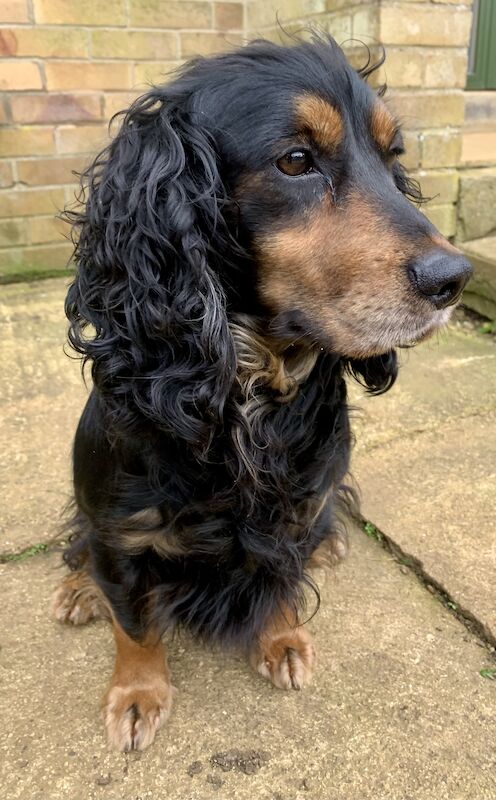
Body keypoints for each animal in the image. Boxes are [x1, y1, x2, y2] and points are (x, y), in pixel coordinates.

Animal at [53, 36, 472, 752]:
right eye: (296, 161)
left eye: (394, 159)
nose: (454, 278)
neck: (250, 390)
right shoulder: (121, 534)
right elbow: (133, 622)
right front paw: (137, 694)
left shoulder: (294, 510)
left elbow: (280, 579)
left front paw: (282, 640)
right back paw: (80, 590)